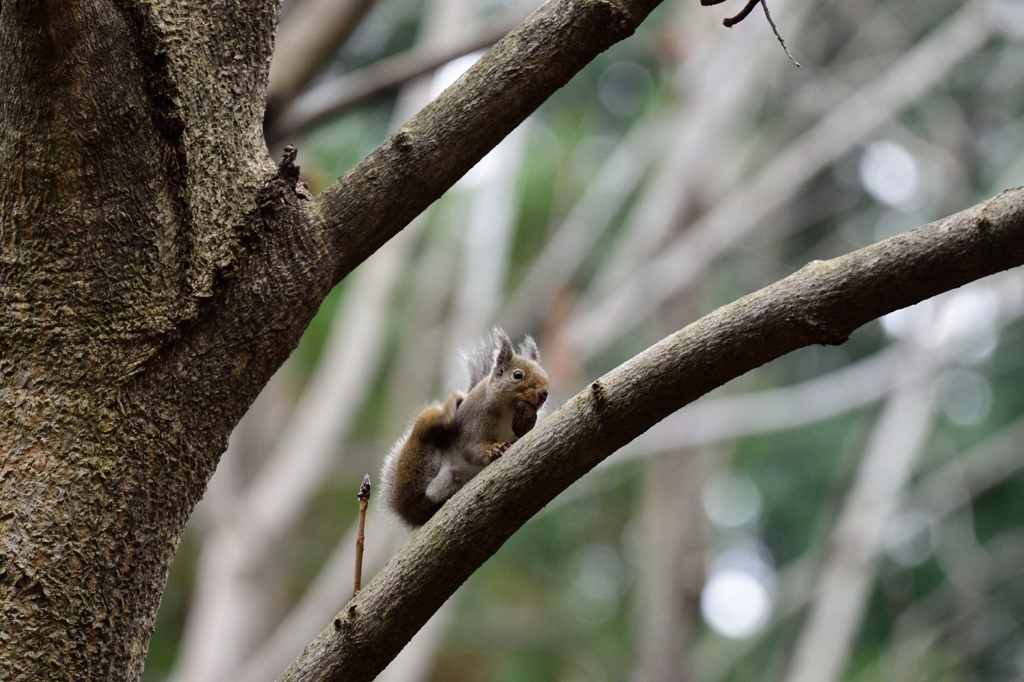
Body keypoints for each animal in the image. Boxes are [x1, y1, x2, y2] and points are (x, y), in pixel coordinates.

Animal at [380, 327, 548, 524]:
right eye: (518, 375)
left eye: (546, 375)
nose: (544, 393)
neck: (507, 413)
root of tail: (405, 509)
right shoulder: (474, 424)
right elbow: (471, 448)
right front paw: (494, 449)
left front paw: (526, 419)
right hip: (417, 464)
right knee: (424, 430)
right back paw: (443, 416)